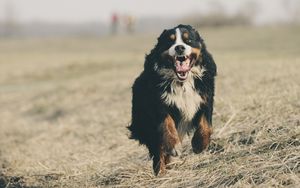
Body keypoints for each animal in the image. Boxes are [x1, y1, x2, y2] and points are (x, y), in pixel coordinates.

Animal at [127, 24, 217, 176]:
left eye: (188, 40)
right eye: (170, 41)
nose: (179, 47)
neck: (182, 83)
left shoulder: (205, 98)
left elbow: (206, 124)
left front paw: (199, 144)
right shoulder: (159, 104)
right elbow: (167, 125)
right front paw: (174, 146)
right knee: (158, 150)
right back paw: (161, 172)